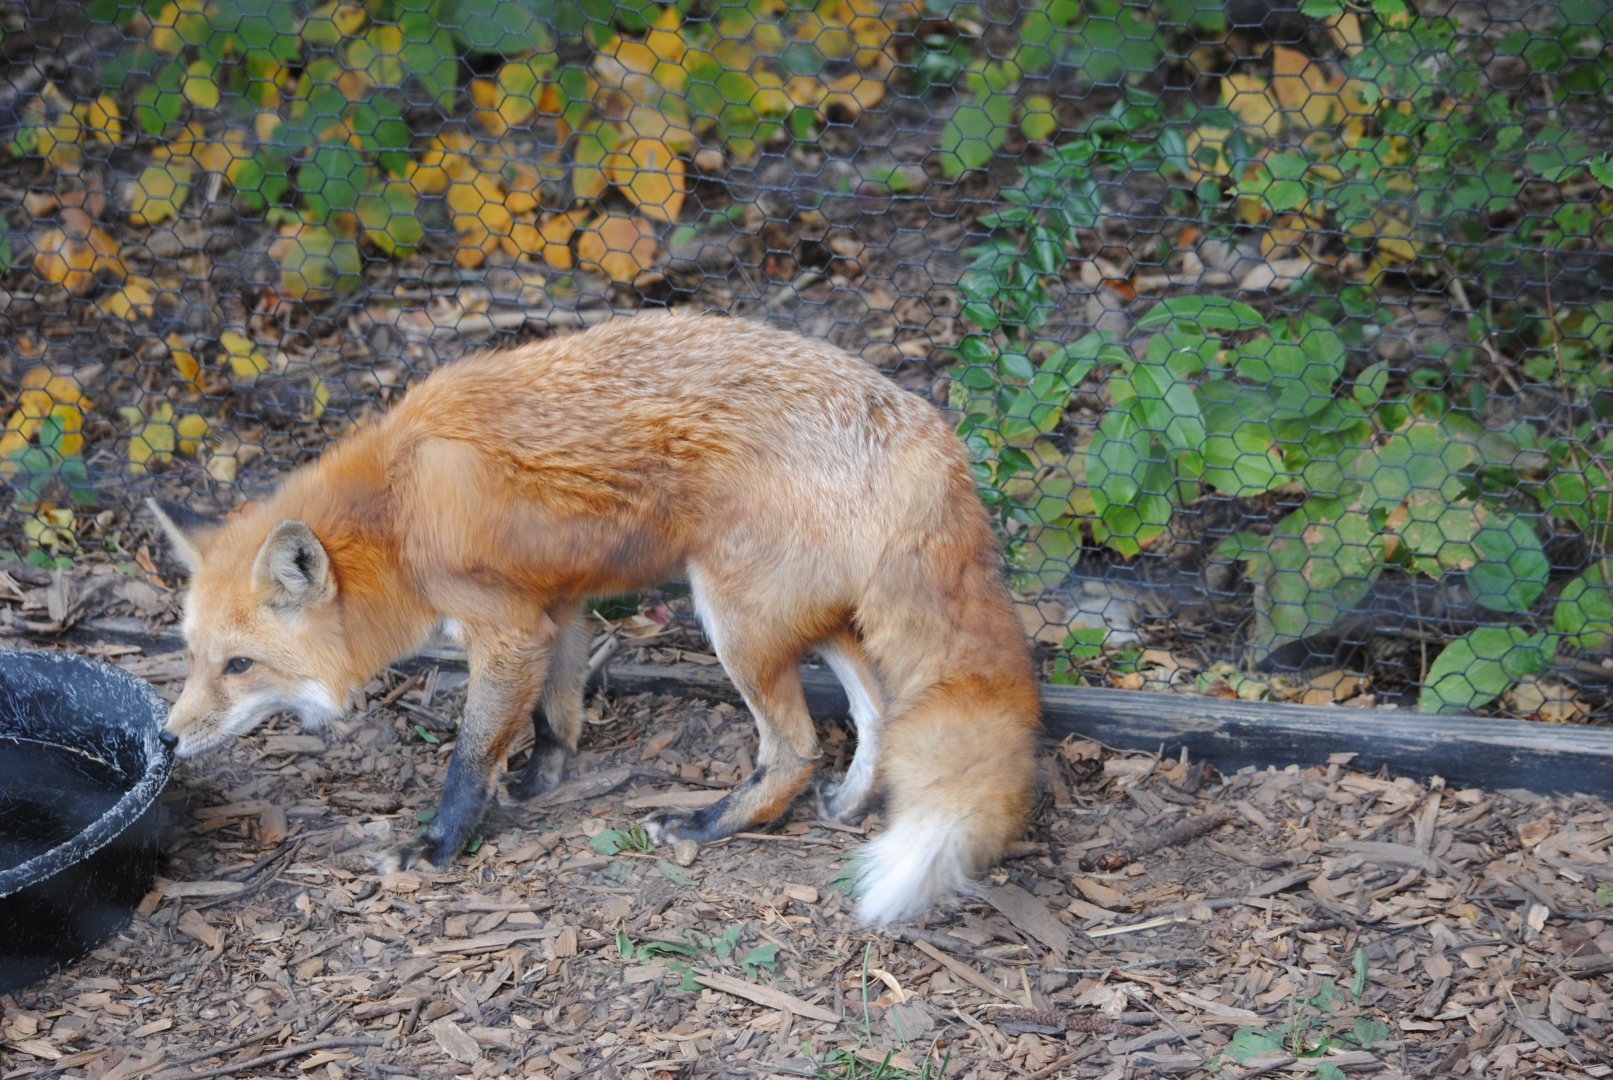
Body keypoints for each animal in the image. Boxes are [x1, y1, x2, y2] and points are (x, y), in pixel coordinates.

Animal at [149, 312, 1042, 924]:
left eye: (239, 666)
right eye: (190, 656)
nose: (164, 739)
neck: (398, 513)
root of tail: (928, 430)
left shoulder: (508, 629)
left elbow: (471, 754)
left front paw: (437, 845)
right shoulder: (557, 603)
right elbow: (556, 711)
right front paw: (543, 782)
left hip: (732, 618)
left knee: (795, 746)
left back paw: (712, 823)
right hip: (805, 615)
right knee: (877, 708)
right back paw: (850, 805)